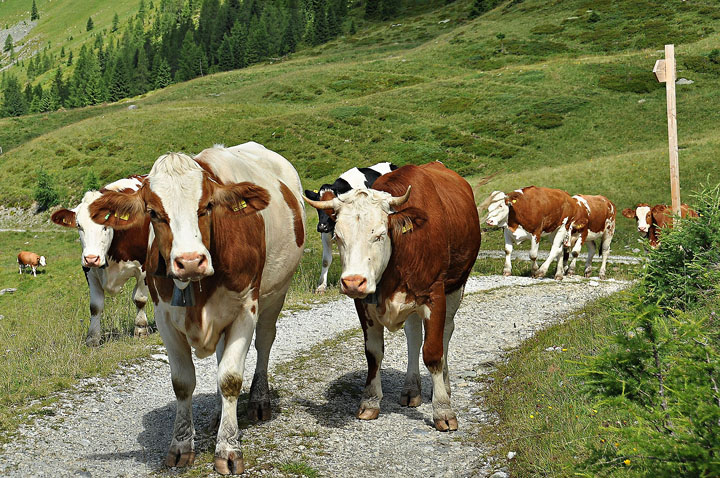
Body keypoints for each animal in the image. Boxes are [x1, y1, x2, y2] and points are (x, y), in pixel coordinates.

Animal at [50, 176, 150, 347]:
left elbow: (139, 299)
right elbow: (95, 306)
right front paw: (93, 338)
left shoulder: (144, 268)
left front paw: (141, 329)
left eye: (105, 225)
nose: (92, 258)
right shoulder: (89, 271)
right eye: (79, 225)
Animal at [88, 142, 305, 475]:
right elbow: (183, 382)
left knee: (265, 342)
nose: (190, 261)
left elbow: (231, 379)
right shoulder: (164, 318)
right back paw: (218, 414)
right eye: (153, 212)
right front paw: (180, 447)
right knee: (220, 356)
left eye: (208, 206)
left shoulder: (245, 309)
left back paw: (258, 401)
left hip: (276, 291)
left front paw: (228, 449)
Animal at [304, 162, 397, 293]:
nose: (322, 226)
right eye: (318, 206)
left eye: (334, 208)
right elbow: (326, 260)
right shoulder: (326, 234)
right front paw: (321, 286)